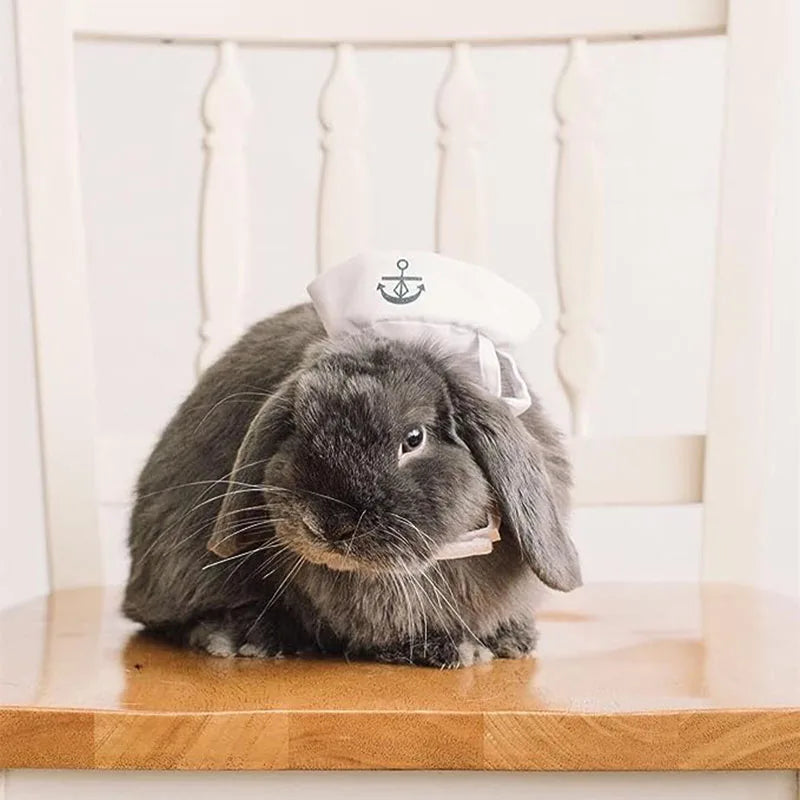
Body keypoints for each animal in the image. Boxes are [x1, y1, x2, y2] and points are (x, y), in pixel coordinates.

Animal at [123, 302, 581, 668]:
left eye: (413, 438)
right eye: (298, 426)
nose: (328, 523)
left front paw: (509, 640)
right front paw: (453, 649)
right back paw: (243, 639)